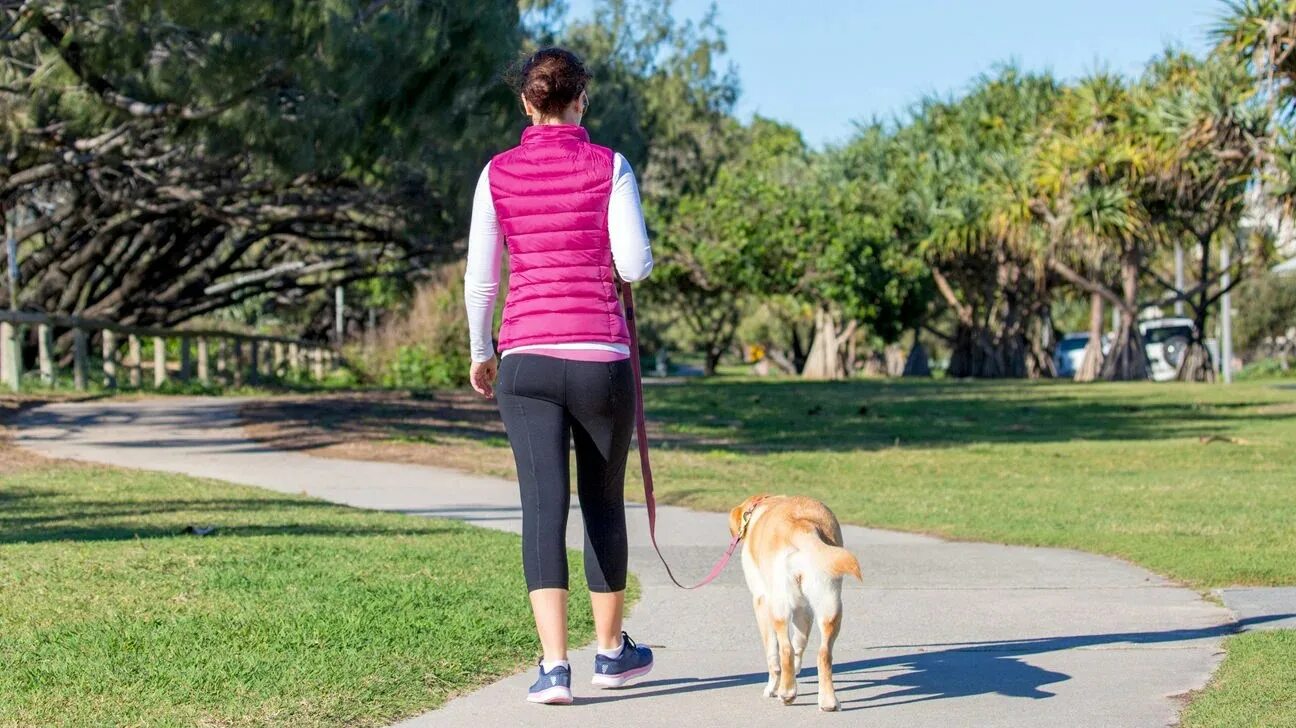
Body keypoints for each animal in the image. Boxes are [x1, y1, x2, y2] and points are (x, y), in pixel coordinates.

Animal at [730, 492, 860, 709]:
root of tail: (803, 526)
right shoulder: (803, 608)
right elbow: (801, 641)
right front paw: (797, 670)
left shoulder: (761, 601)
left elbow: (773, 654)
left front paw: (772, 688)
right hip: (830, 604)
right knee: (824, 653)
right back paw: (828, 701)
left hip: (779, 606)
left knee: (785, 649)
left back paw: (787, 692)